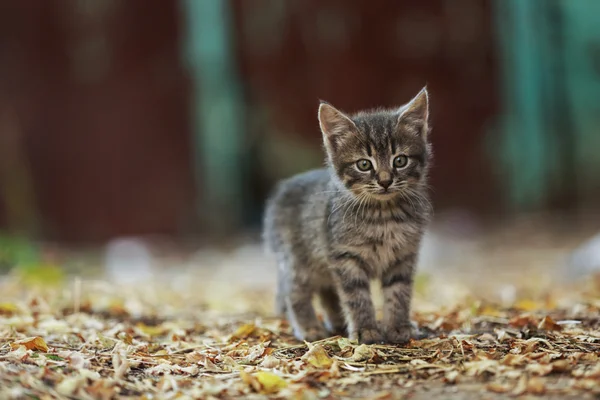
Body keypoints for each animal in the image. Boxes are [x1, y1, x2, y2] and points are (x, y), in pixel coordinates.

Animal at [262, 87, 432, 344]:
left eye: (400, 160)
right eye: (364, 164)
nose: (385, 181)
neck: (383, 215)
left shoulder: (403, 256)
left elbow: (399, 292)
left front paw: (398, 326)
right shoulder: (346, 257)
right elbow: (356, 296)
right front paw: (365, 330)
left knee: (327, 291)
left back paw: (337, 322)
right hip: (297, 260)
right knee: (295, 291)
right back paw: (309, 327)